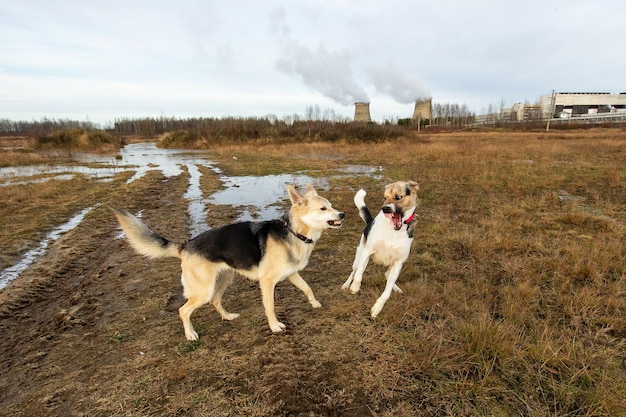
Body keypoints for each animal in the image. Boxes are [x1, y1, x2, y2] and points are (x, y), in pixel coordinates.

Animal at [342, 180, 420, 316]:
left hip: (392, 267)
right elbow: (359, 275)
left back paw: (396, 287)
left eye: (398, 197)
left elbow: (387, 293)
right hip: (358, 258)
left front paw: (377, 307)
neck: (394, 230)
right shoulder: (367, 252)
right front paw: (355, 287)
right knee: (354, 271)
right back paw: (347, 284)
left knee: (387, 275)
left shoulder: (398, 263)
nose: (385, 209)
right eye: (384, 197)